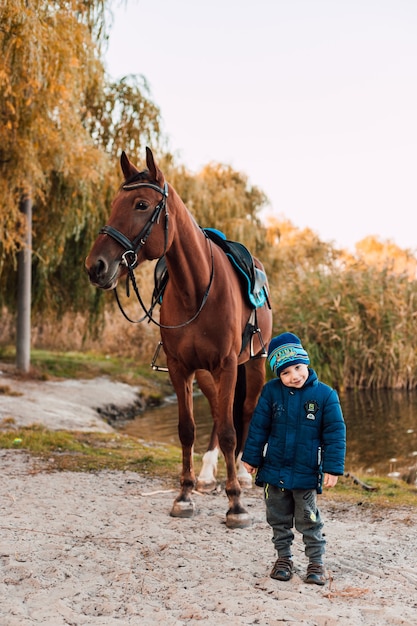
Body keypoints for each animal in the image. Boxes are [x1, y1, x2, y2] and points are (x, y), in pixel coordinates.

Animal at [85, 147, 272, 528]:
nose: (96, 266)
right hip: (207, 372)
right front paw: (185, 495)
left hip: (253, 363)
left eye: (141, 204)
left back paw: (242, 474)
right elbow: (188, 428)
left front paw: (236, 503)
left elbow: (230, 429)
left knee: (244, 412)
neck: (196, 289)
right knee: (216, 411)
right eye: (114, 204)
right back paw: (208, 476)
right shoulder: (180, 367)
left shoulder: (227, 364)